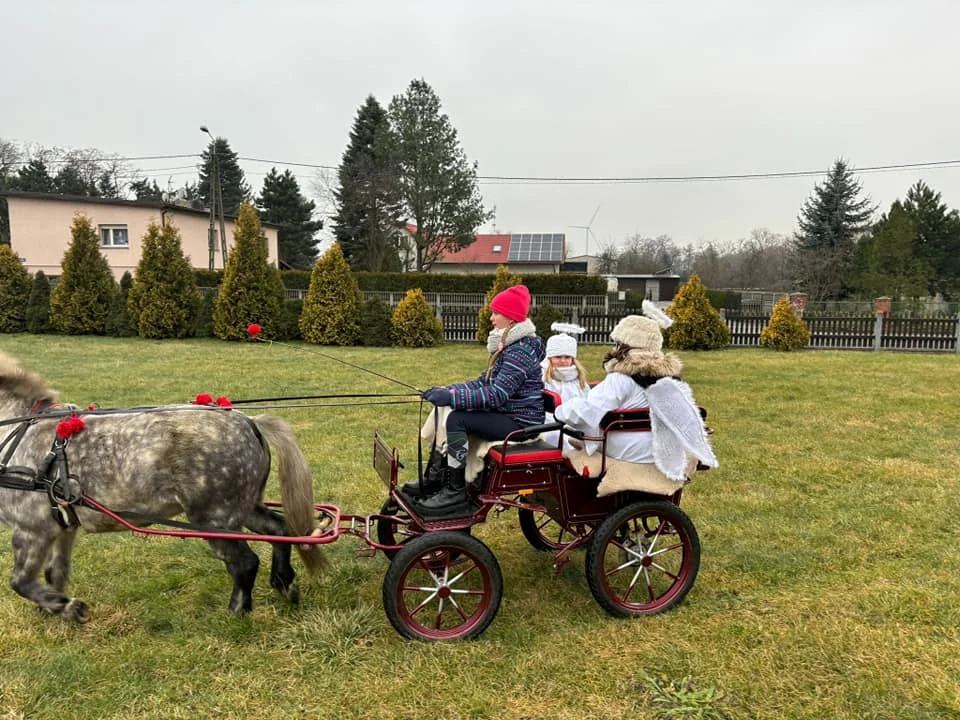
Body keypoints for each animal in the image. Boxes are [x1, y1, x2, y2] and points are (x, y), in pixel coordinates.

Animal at [0, 352, 326, 620]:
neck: (20, 436)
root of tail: (251, 422)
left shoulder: (31, 529)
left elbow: (21, 582)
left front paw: (65, 607)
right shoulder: (62, 526)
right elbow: (55, 572)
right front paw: (55, 607)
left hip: (214, 519)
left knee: (244, 563)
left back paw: (237, 612)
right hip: (242, 508)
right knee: (279, 530)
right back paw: (285, 583)